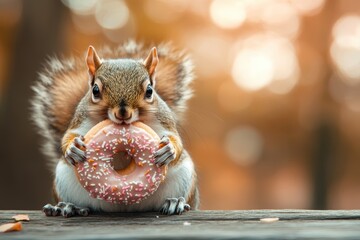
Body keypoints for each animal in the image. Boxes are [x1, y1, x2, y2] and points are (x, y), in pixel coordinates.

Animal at [31, 41, 200, 218]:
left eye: (149, 91)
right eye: (95, 90)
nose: (123, 113)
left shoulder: (164, 121)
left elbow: (176, 140)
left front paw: (169, 149)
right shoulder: (80, 121)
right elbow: (68, 136)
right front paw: (72, 148)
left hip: (184, 177)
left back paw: (175, 202)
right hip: (64, 179)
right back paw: (67, 207)